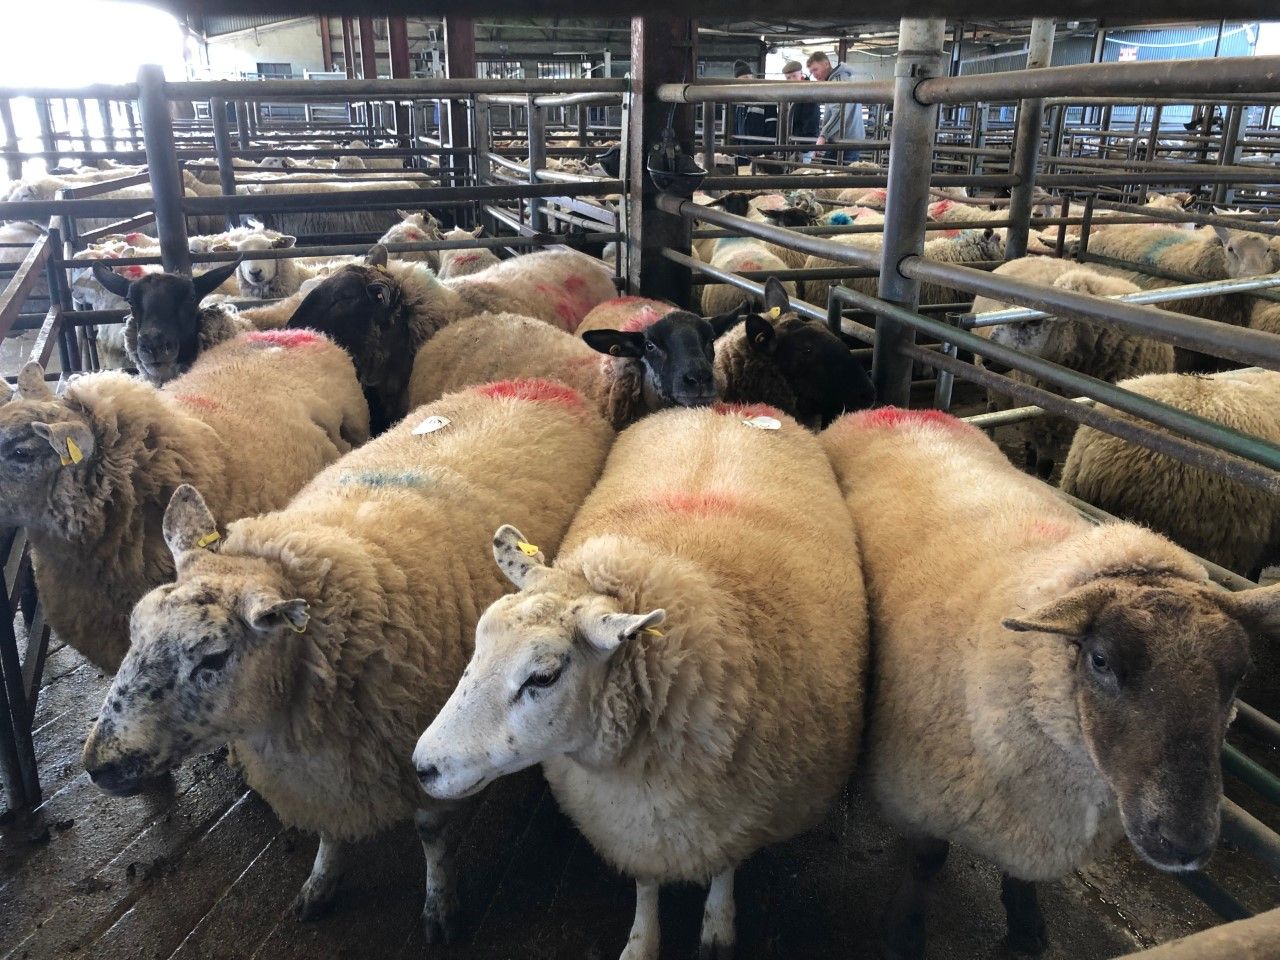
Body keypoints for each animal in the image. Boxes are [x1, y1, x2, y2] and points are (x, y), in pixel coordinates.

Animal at [82, 378, 613, 941]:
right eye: (134, 628)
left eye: (213, 657)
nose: (98, 766)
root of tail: (541, 382)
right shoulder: (326, 777)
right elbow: (331, 835)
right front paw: (320, 884)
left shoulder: (423, 759)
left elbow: (432, 837)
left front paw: (440, 907)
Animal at [412, 403, 869, 960]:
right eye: (479, 640)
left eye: (544, 675)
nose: (422, 767)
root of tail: (722, 406)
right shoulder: (631, 824)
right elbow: (647, 884)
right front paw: (642, 941)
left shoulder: (741, 812)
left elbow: (724, 866)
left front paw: (717, 928)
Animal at [821, 406, 1272, 959]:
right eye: (1100, 660)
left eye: (1240, 675)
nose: (1186, 844)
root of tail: (893, 409)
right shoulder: (921, 796)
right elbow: (926, 862)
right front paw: (904, 934)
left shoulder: (1036, 827)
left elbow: (1022, 879)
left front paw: (1026, 928)